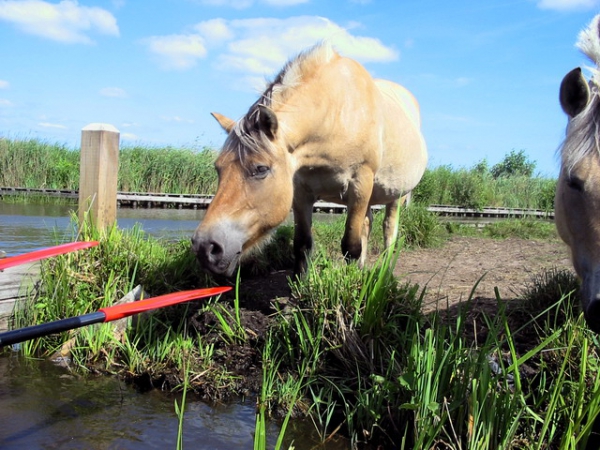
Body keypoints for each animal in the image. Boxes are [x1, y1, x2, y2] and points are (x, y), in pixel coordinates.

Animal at [192, 44, 426, 278]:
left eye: (261, 169)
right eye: (218, 169)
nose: (205, 247)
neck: (338, 114)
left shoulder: (360, 183)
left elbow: (351, 246)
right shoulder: (301, 192)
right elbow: (302, 244)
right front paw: (300, 283)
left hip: (395, 195)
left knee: (389, 230)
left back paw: (385, 271)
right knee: (367, 225)